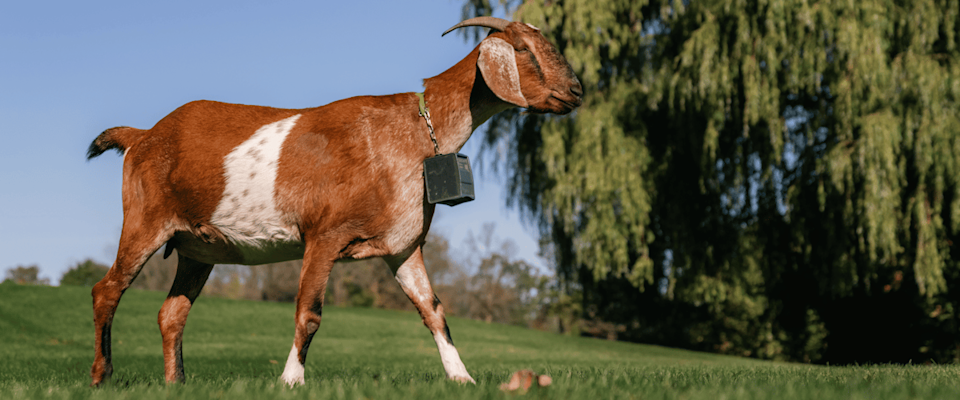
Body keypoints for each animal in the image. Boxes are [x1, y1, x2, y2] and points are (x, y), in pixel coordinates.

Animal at [86, 16, 582, 387]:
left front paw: (463, 379)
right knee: (107, 289)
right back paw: (101, 376)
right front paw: (291, 380)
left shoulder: (403, 246)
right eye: (524, 49)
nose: (576, 91)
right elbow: (309, 313)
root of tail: (142, 135)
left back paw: (176, 383)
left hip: (197, 246)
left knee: (172, 313)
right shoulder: (323, 235)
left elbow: (435, 311)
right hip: (146, 219)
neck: (413, 129)